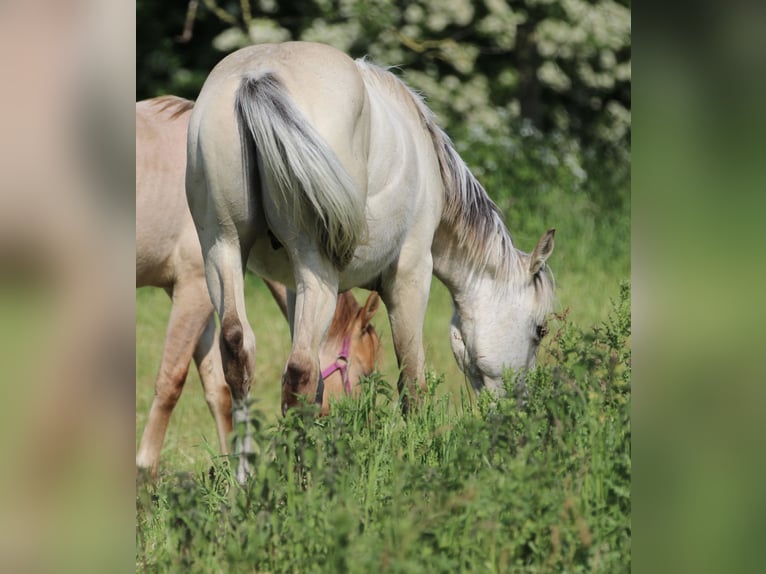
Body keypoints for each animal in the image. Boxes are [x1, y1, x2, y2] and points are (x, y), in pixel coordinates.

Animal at [136, 97, 382, 480]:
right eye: (365, 372)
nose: (364, 431)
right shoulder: (192, 289)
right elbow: (171, 381)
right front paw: (144, 471)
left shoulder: (203, 301)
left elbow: (219, 389)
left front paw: (233, 468)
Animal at [188, 40, 560, 430]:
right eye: (540, 330)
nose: (518, 409)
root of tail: (257, 77)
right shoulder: (410, 275)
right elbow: (412, 381)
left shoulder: (291, 287)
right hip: (317, 270)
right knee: (299, 371)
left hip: (224, 249)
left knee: (240, 350)